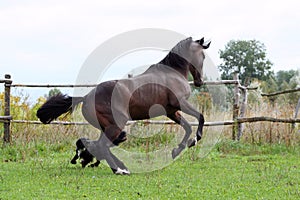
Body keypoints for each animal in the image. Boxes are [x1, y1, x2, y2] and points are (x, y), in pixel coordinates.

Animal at [36, 36, 211, 174]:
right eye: (202, 55)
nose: (199, 81)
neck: (172, 73)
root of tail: (86, 97)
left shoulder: (171, 111)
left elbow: (187, 127)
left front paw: (177, 150)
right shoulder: (181, 103)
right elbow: (200, 117)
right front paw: (195, 140)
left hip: (107, 126)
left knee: (98, 145)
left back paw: (108, 164)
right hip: (116, 124)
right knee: (102, 145)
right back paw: (118, 170)